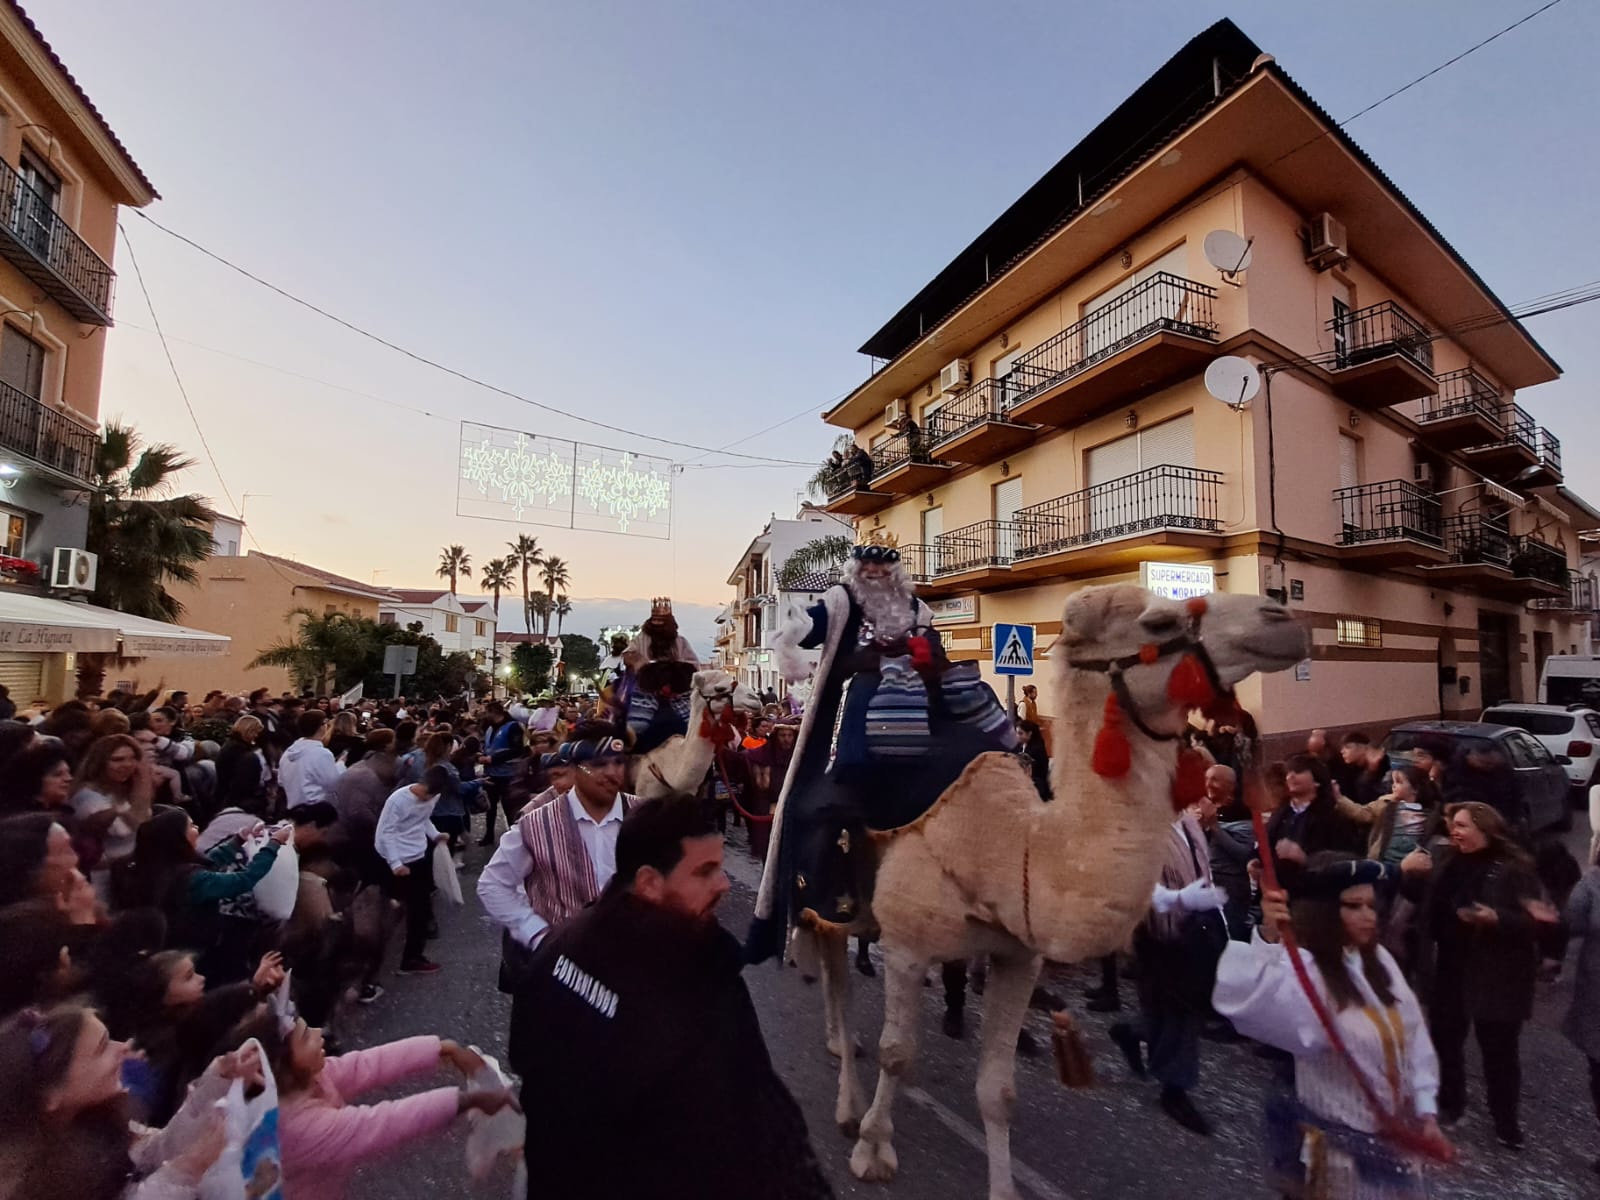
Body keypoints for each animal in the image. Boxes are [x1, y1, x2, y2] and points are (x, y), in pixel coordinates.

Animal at [768, 579, 1305, 1196]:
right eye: (1158, 622)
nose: (1281, 619)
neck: (1007, 846)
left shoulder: (1018, 958)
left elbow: (998, 1091)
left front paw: (1002, 1187)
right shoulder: (907, 947)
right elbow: (897, 1053)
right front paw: (873, 1150)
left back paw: (841, 1047)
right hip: (829, 898)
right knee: (838, 980)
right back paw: (848, 1098)